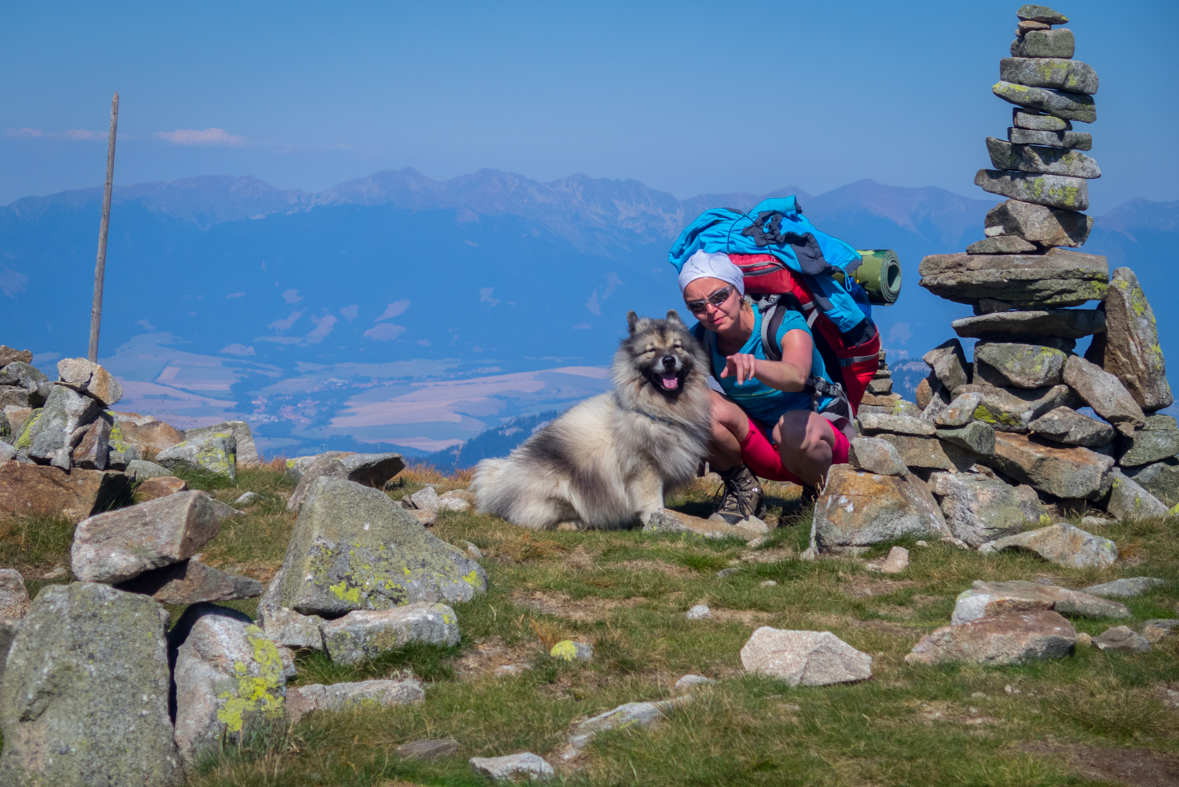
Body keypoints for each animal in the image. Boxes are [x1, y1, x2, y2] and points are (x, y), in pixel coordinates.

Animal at [469, 308, 707, 527]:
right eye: (651, 350)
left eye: (677, 346)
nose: (669, 360)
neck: (654, 411)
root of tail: (498, 488)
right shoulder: (645, 467)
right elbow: (652, 500)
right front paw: (655, 521)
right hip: (559, 491)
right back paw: (576, 524)